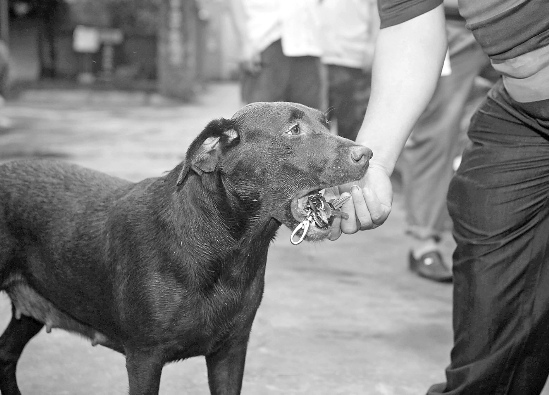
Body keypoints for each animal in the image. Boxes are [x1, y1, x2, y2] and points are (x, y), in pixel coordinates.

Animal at [0, 103, 370, 395]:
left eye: (326, 124)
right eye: (294, 130)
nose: (366, 154)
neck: (225, 249)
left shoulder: (231, 350)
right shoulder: (144, 357)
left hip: (32, 306)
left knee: (6, 355)